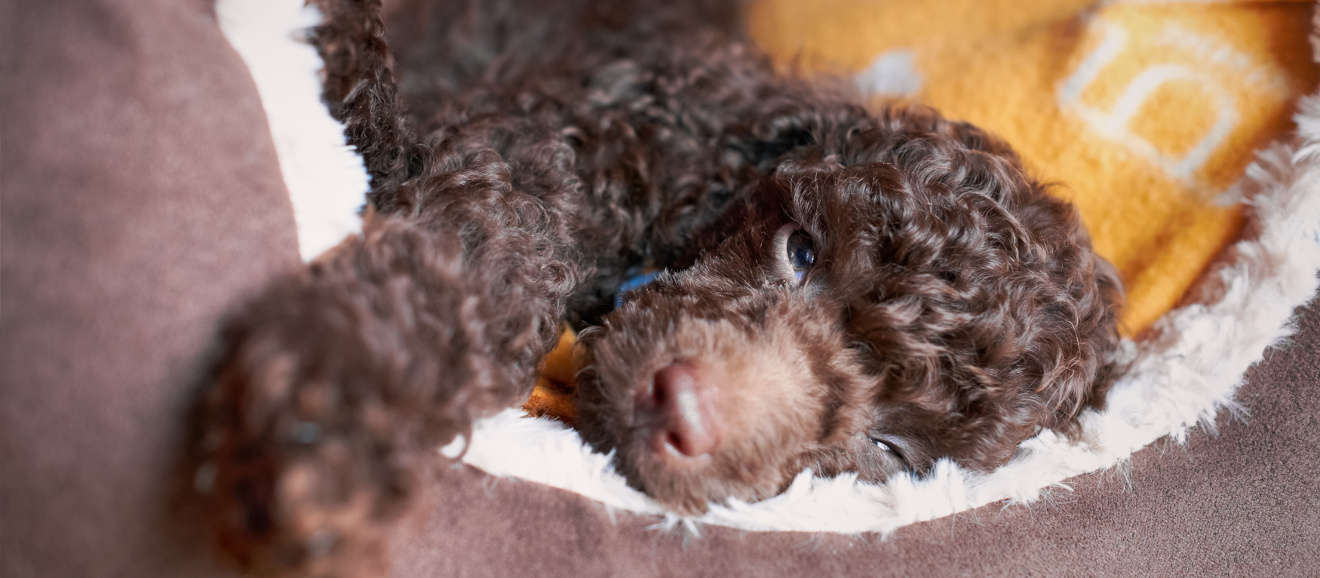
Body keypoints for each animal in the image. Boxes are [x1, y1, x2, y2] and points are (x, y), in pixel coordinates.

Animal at [198, 0, 1124, 572]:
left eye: (890, 448)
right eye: (801, 251)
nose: (680, 409)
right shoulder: (563, 140)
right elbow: (480, 236)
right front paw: (334, 394)